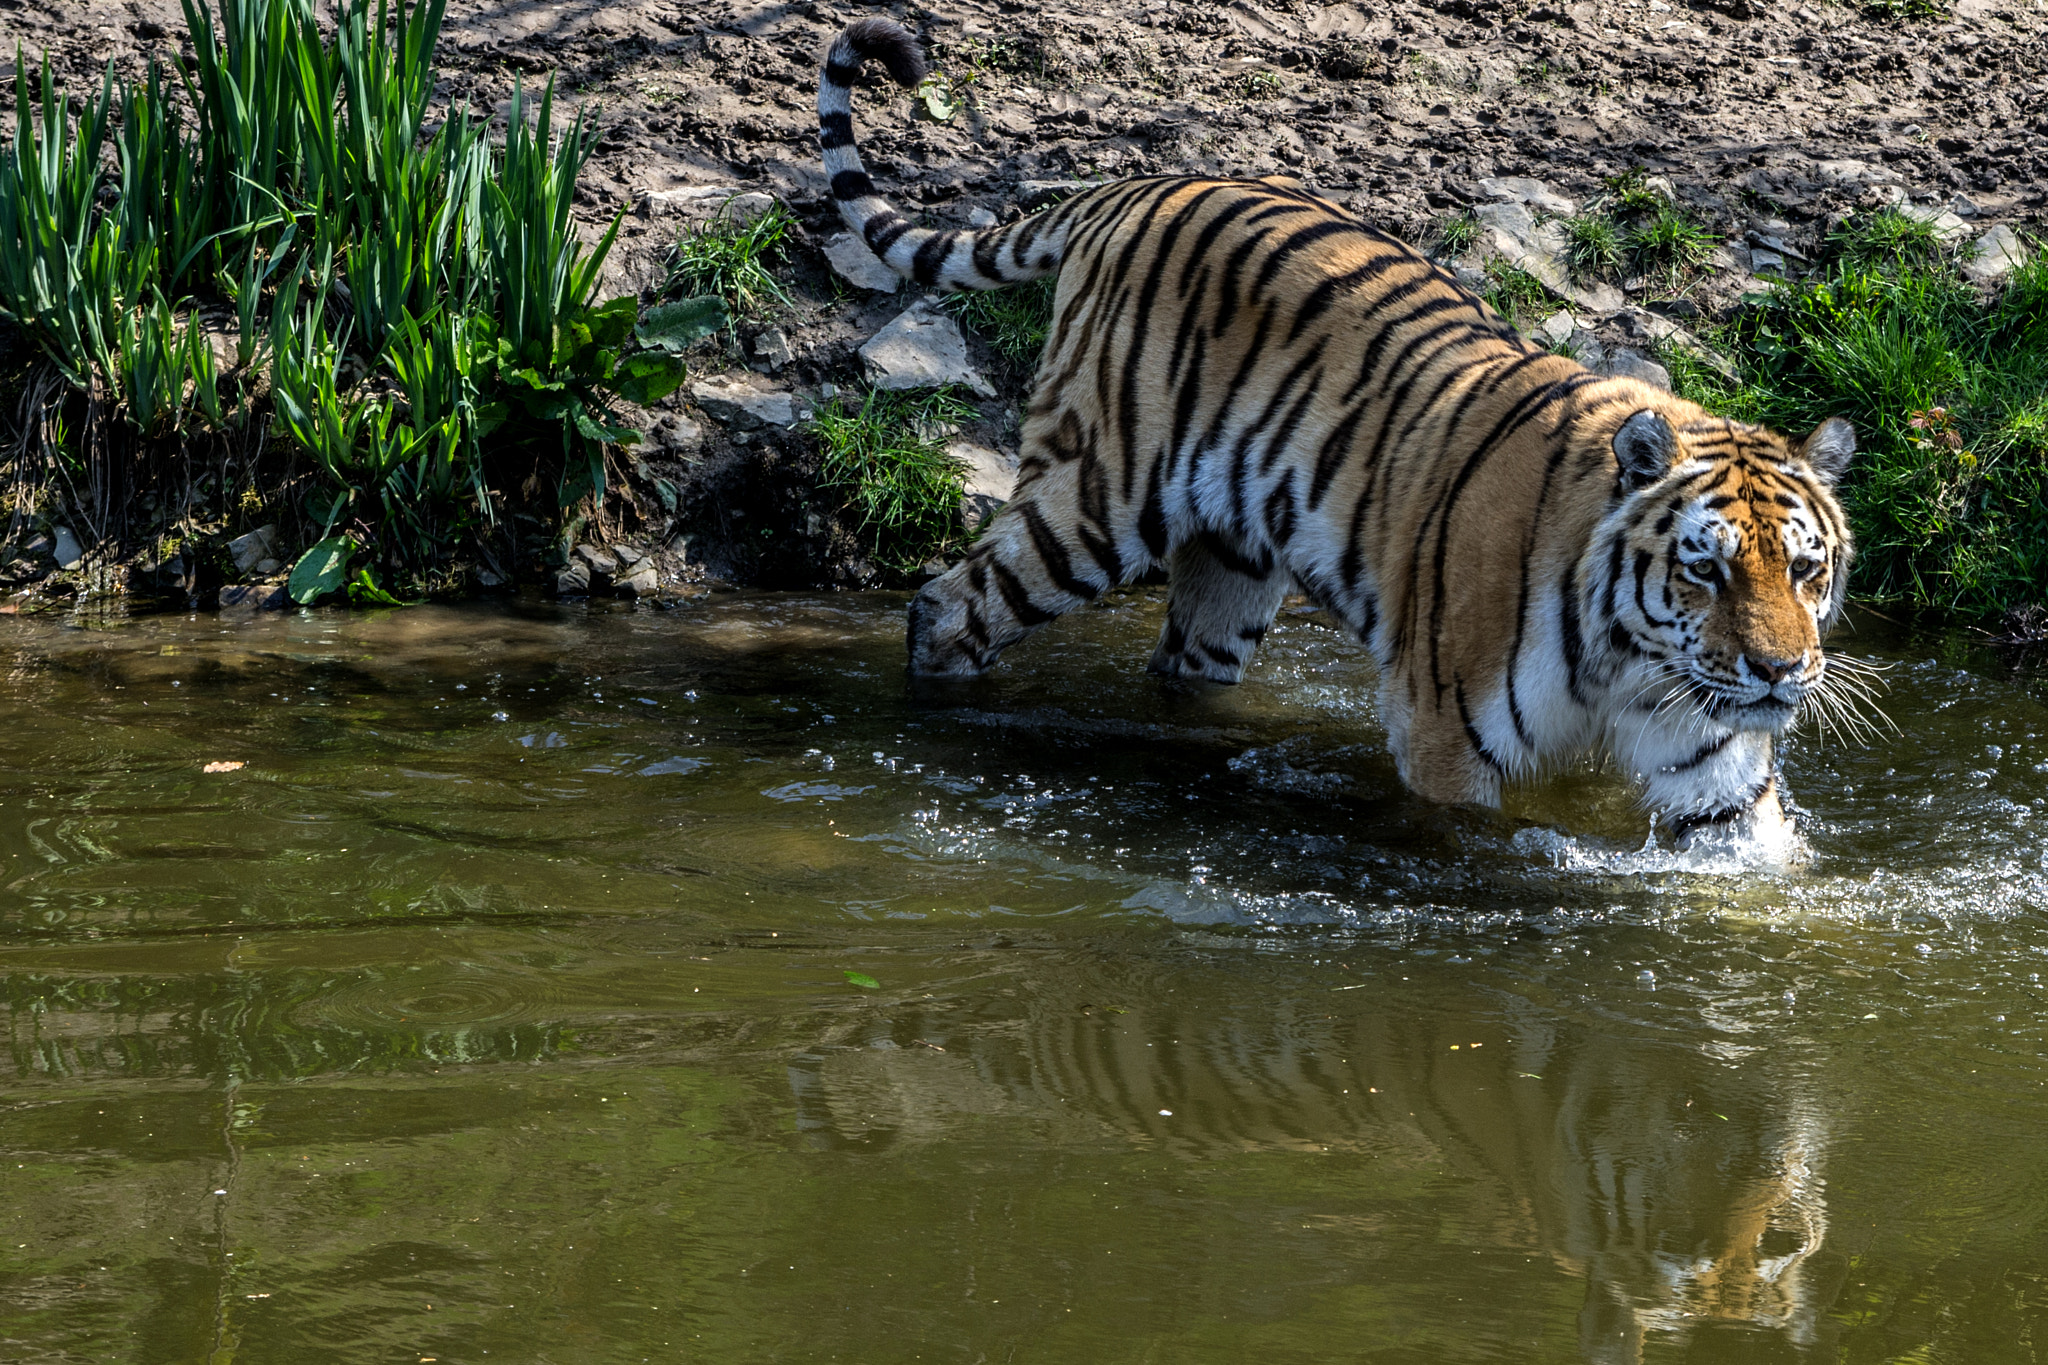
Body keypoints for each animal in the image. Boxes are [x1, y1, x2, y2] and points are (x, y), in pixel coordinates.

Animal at [816, 19, 1859, 847]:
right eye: (1704, 568)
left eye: (1806, 570)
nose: (1779, 674)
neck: (1636, 662)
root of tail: (1137, 183)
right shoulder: (1448, 739)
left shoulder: (1711, 756)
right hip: (1093, 501)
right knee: (947, 606)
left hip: (1230, 567)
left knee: (1178, 666)